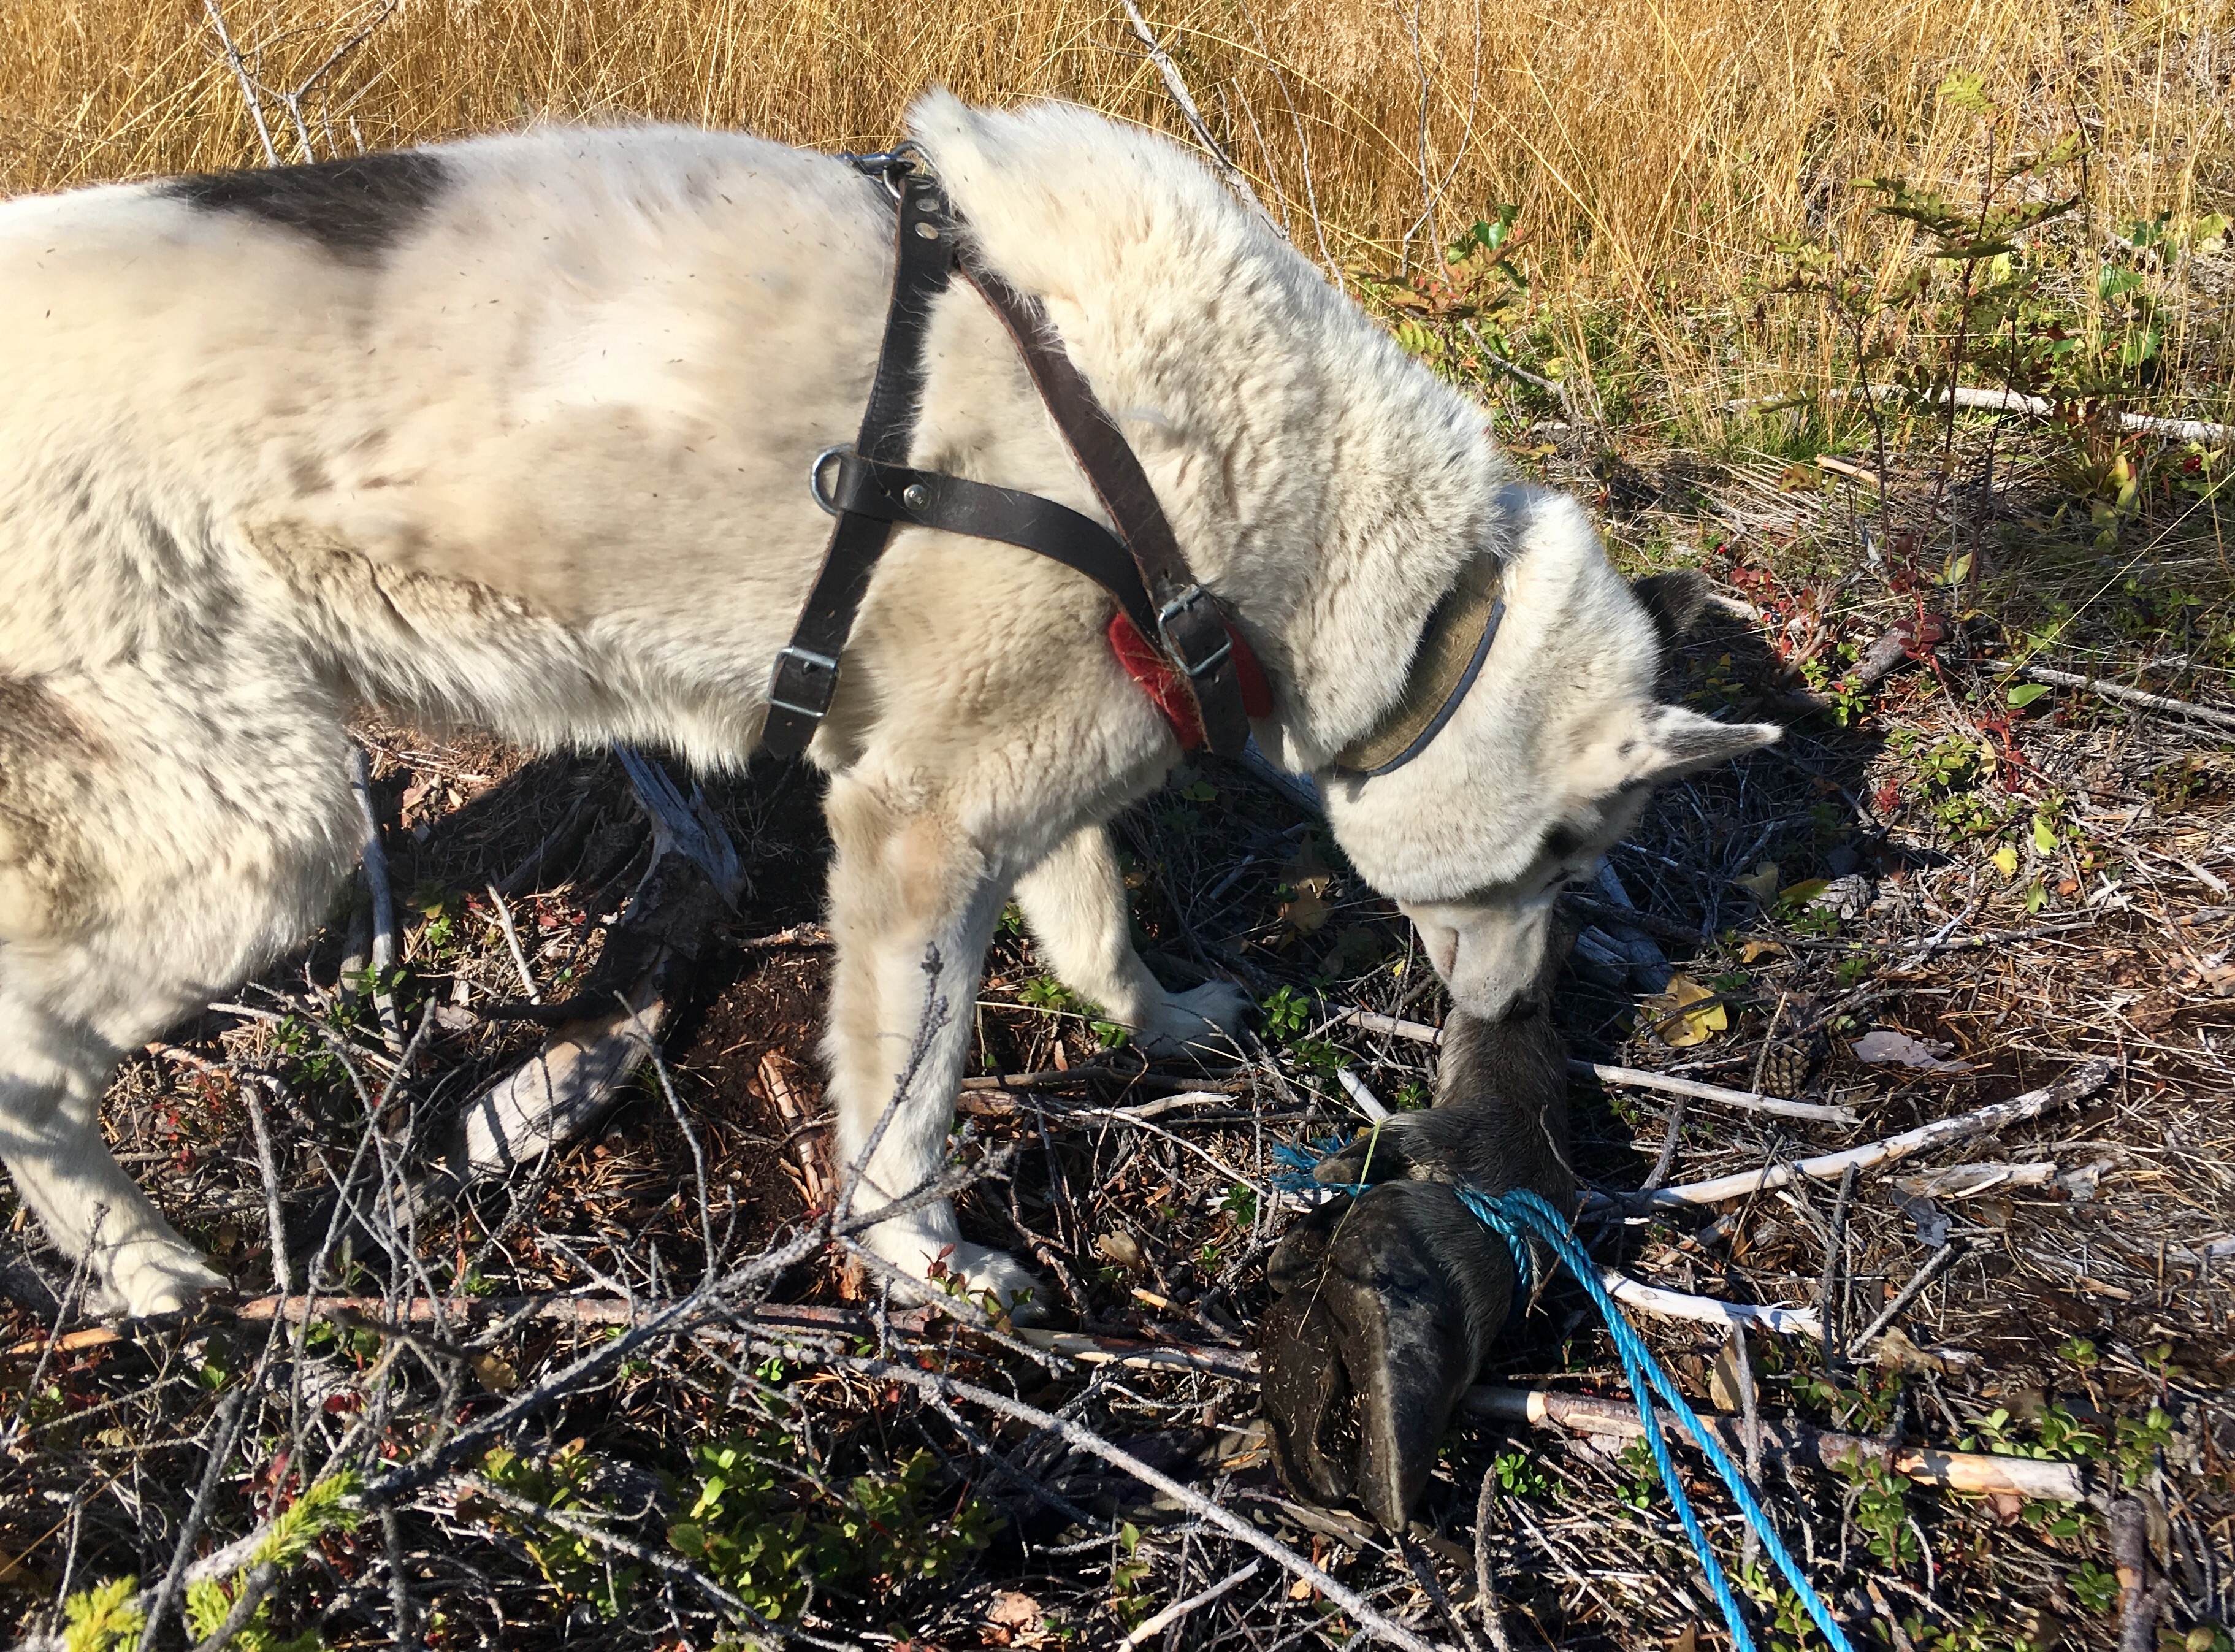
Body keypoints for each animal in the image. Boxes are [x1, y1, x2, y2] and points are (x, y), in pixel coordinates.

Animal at [0, 92, 1776, 1318]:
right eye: (1562, 852)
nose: (1521, 1025)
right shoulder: (917, 826)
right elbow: (906, 1097)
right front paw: (920, 1257)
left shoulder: (1032, 765)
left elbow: (1096, 927)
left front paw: (1165, 1021)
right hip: (262, 826)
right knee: (31, 1056)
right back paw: (148, 1272)